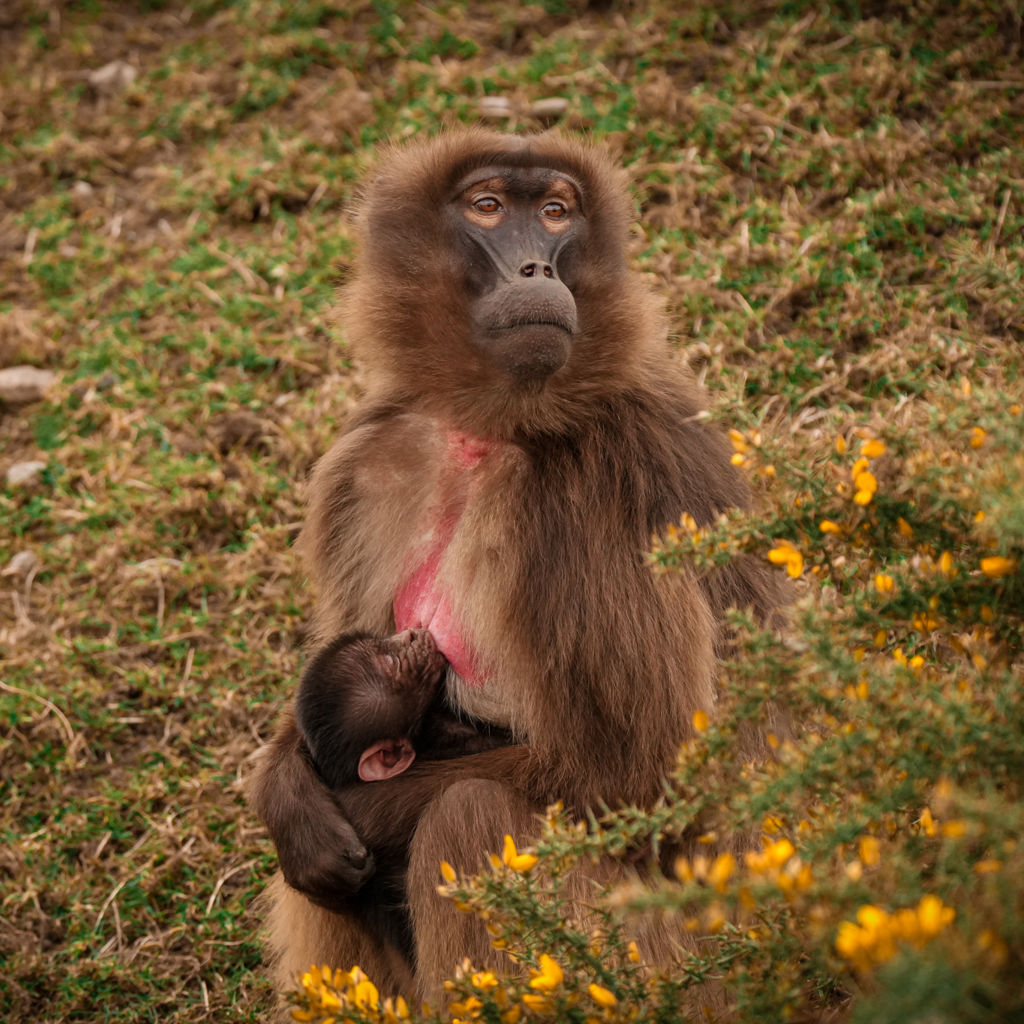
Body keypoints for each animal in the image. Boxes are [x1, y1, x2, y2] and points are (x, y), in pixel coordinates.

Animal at [248, 128, 786, 1003]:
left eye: (558, 213)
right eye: (489, 206)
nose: (536, 269)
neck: (492, 430)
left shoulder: (584, 506)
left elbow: (641, 783)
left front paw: (338, 805)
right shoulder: (368, 462)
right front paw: (287, 791)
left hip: (675, 969)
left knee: (470, 816)